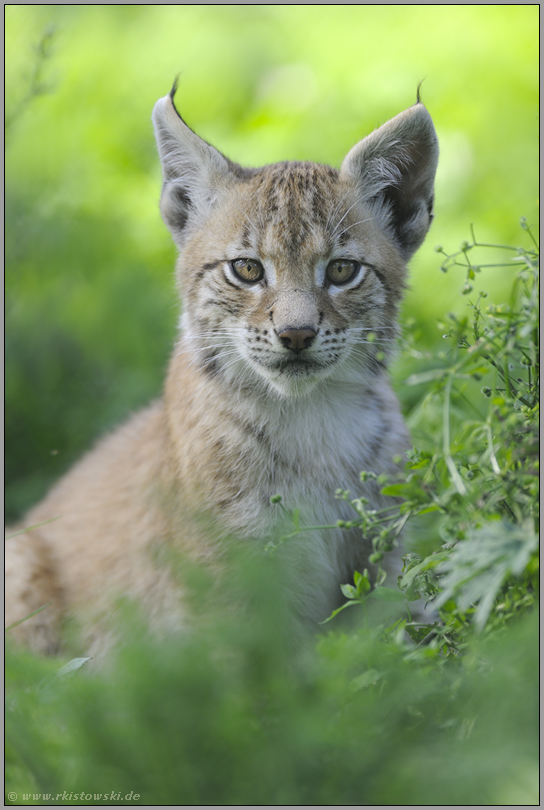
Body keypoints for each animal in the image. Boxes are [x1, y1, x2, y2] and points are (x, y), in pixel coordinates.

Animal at [5, 82, 438, 652]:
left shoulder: (381, 551)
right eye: (247, 269)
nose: (296, 335)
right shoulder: (226, 590)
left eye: (343, 270)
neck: (310, 414)